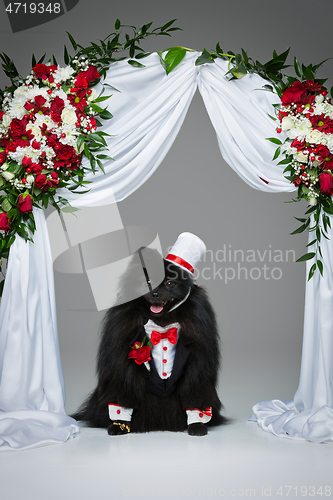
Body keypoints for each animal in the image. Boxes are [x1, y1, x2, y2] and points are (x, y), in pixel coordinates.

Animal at [72, 248, 226, 436]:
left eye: (169, 284)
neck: (162, 324)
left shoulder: (197, 364)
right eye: (147, 282)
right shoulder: (123, 363)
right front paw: (120, 424)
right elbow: (124, 392)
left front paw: (196, 424)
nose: (155, 293)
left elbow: (194, 392)